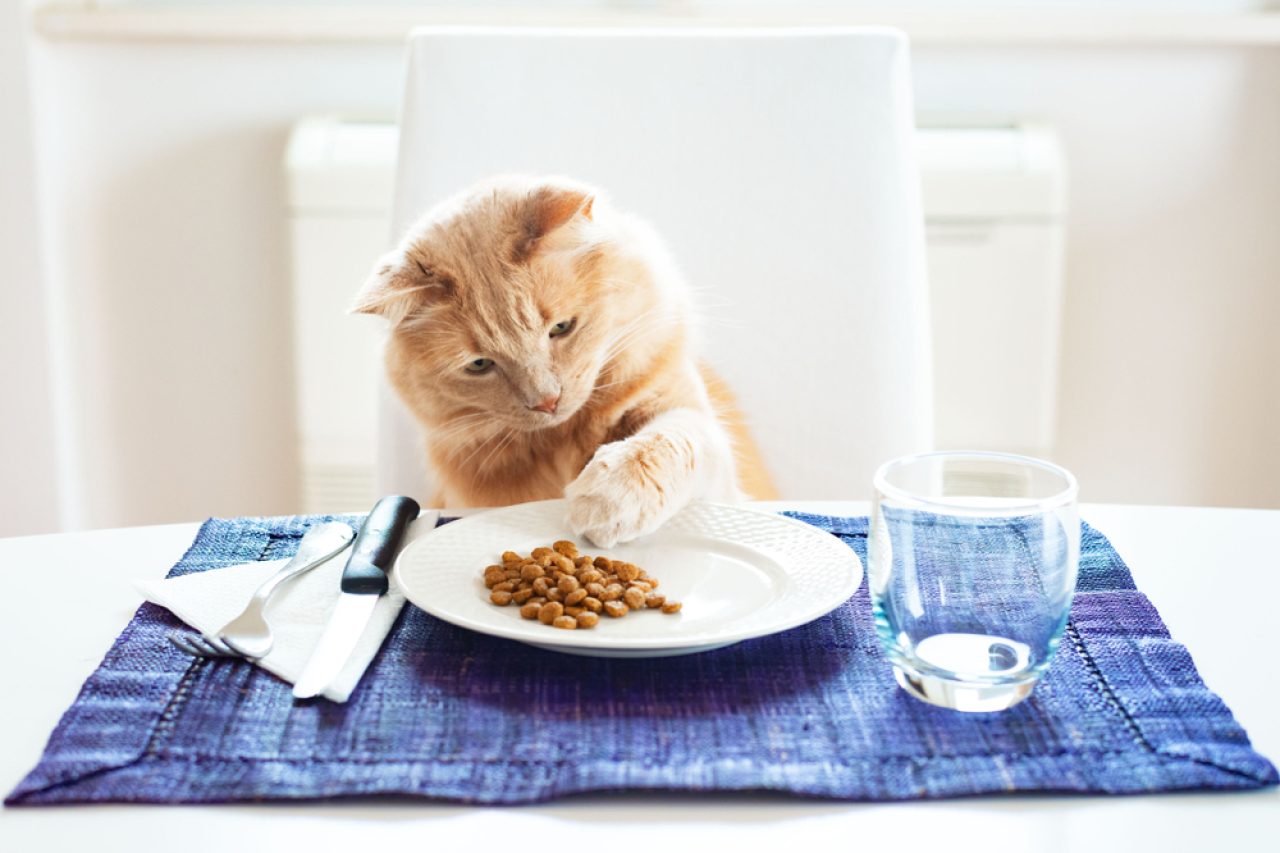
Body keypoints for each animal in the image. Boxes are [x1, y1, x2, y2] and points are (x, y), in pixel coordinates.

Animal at [350, 174, 773, 545]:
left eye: (561, 328)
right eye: (479, 365)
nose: (547, 401)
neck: (562, 441)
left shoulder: (683, 417)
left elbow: (668, 440)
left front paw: (609, 496)